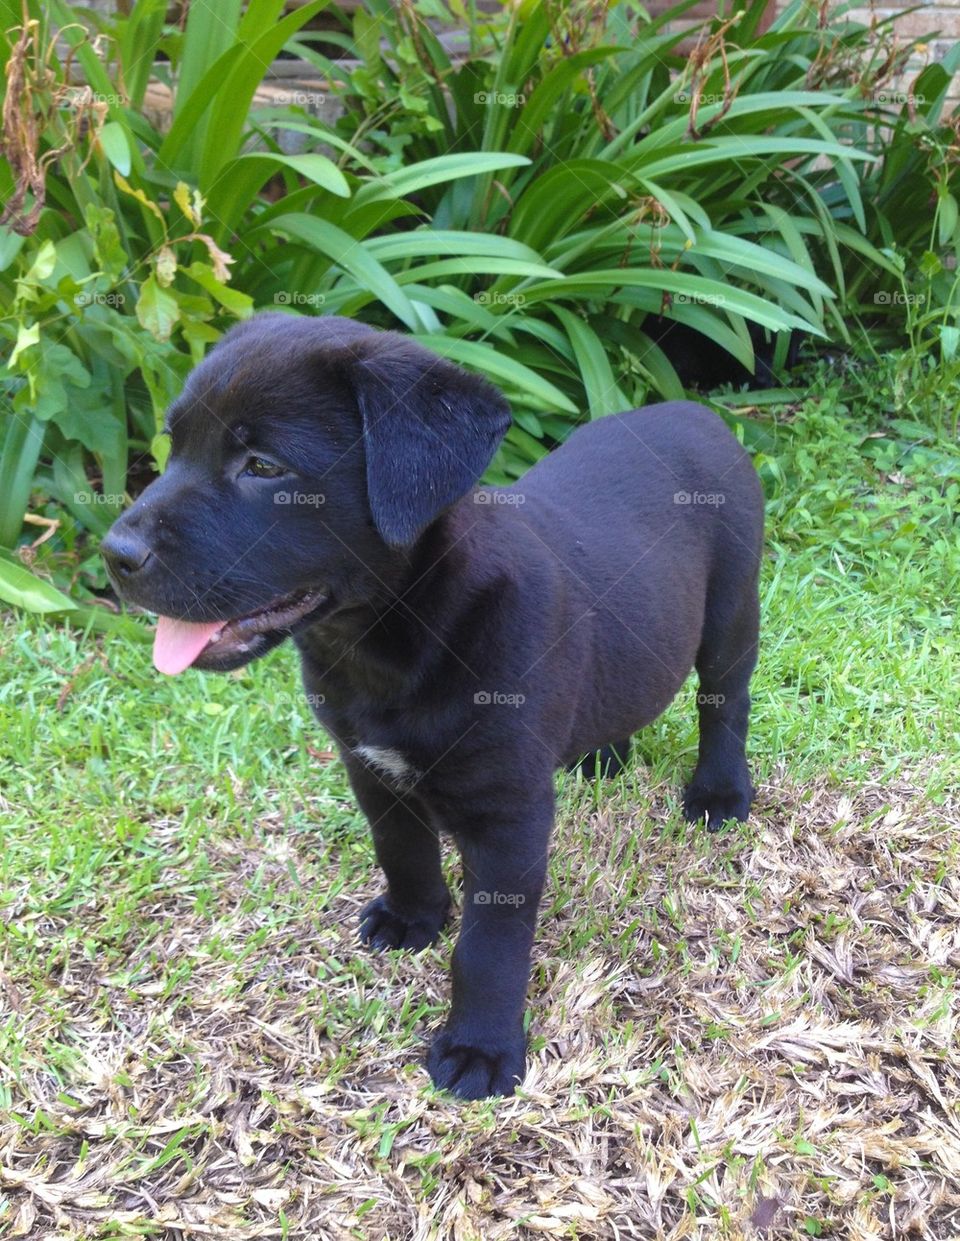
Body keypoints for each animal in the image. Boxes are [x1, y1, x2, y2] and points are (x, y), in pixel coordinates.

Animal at [103, 315, 768, 1102]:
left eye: (264, 466)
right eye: (173, 445)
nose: (115, 554)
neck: (390, 637)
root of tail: (698, 412)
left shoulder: (509, 814)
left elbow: (489, 946)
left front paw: (480, 1048)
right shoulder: (368, 765)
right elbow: (402, 848)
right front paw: (414, 917)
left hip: (731, 609)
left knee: (724, 702)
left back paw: (719, 794)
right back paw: (601, 756)